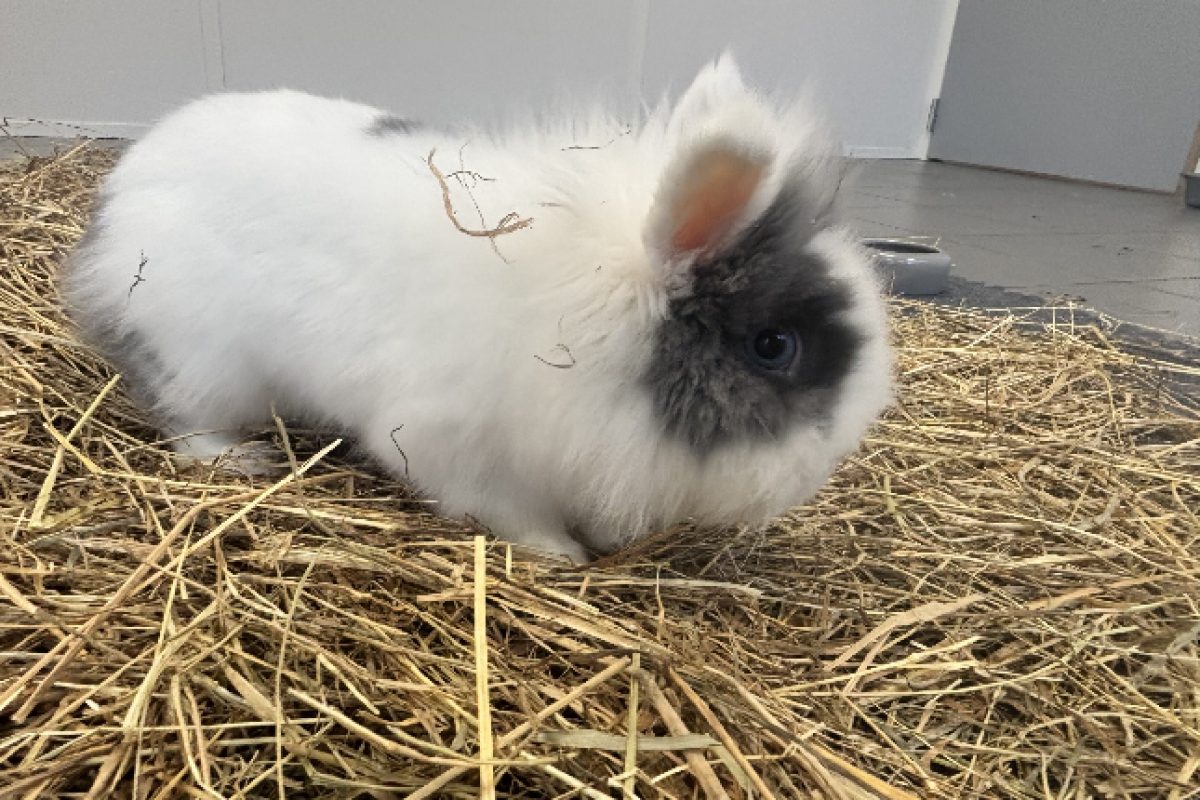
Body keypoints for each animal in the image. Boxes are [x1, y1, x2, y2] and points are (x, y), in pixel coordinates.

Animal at [63, 54, 894, 563]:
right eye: (775, 346)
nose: (833, 457)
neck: (595, 332)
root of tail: (118, 195)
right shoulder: (455, 449)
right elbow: (507, 511)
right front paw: (563, 554)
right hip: (202, 361)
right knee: (187, 422)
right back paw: (241, 458)